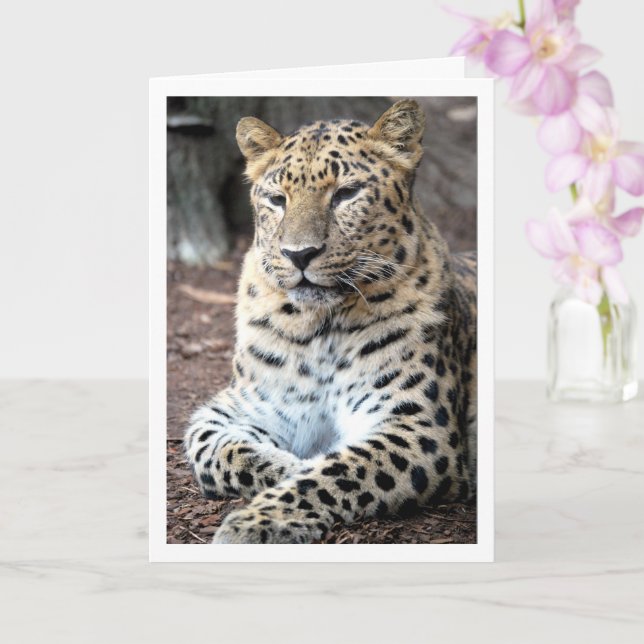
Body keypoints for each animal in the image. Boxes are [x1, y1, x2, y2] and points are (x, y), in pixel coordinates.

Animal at [184, 99, 477, 544]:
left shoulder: (420, 427)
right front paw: (287, 467)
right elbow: (215, 451)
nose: (298, 254)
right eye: (277, 199)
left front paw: (258, 522)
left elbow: (337, 472)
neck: (319, 328)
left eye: (346, 193)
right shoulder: (237, 408)